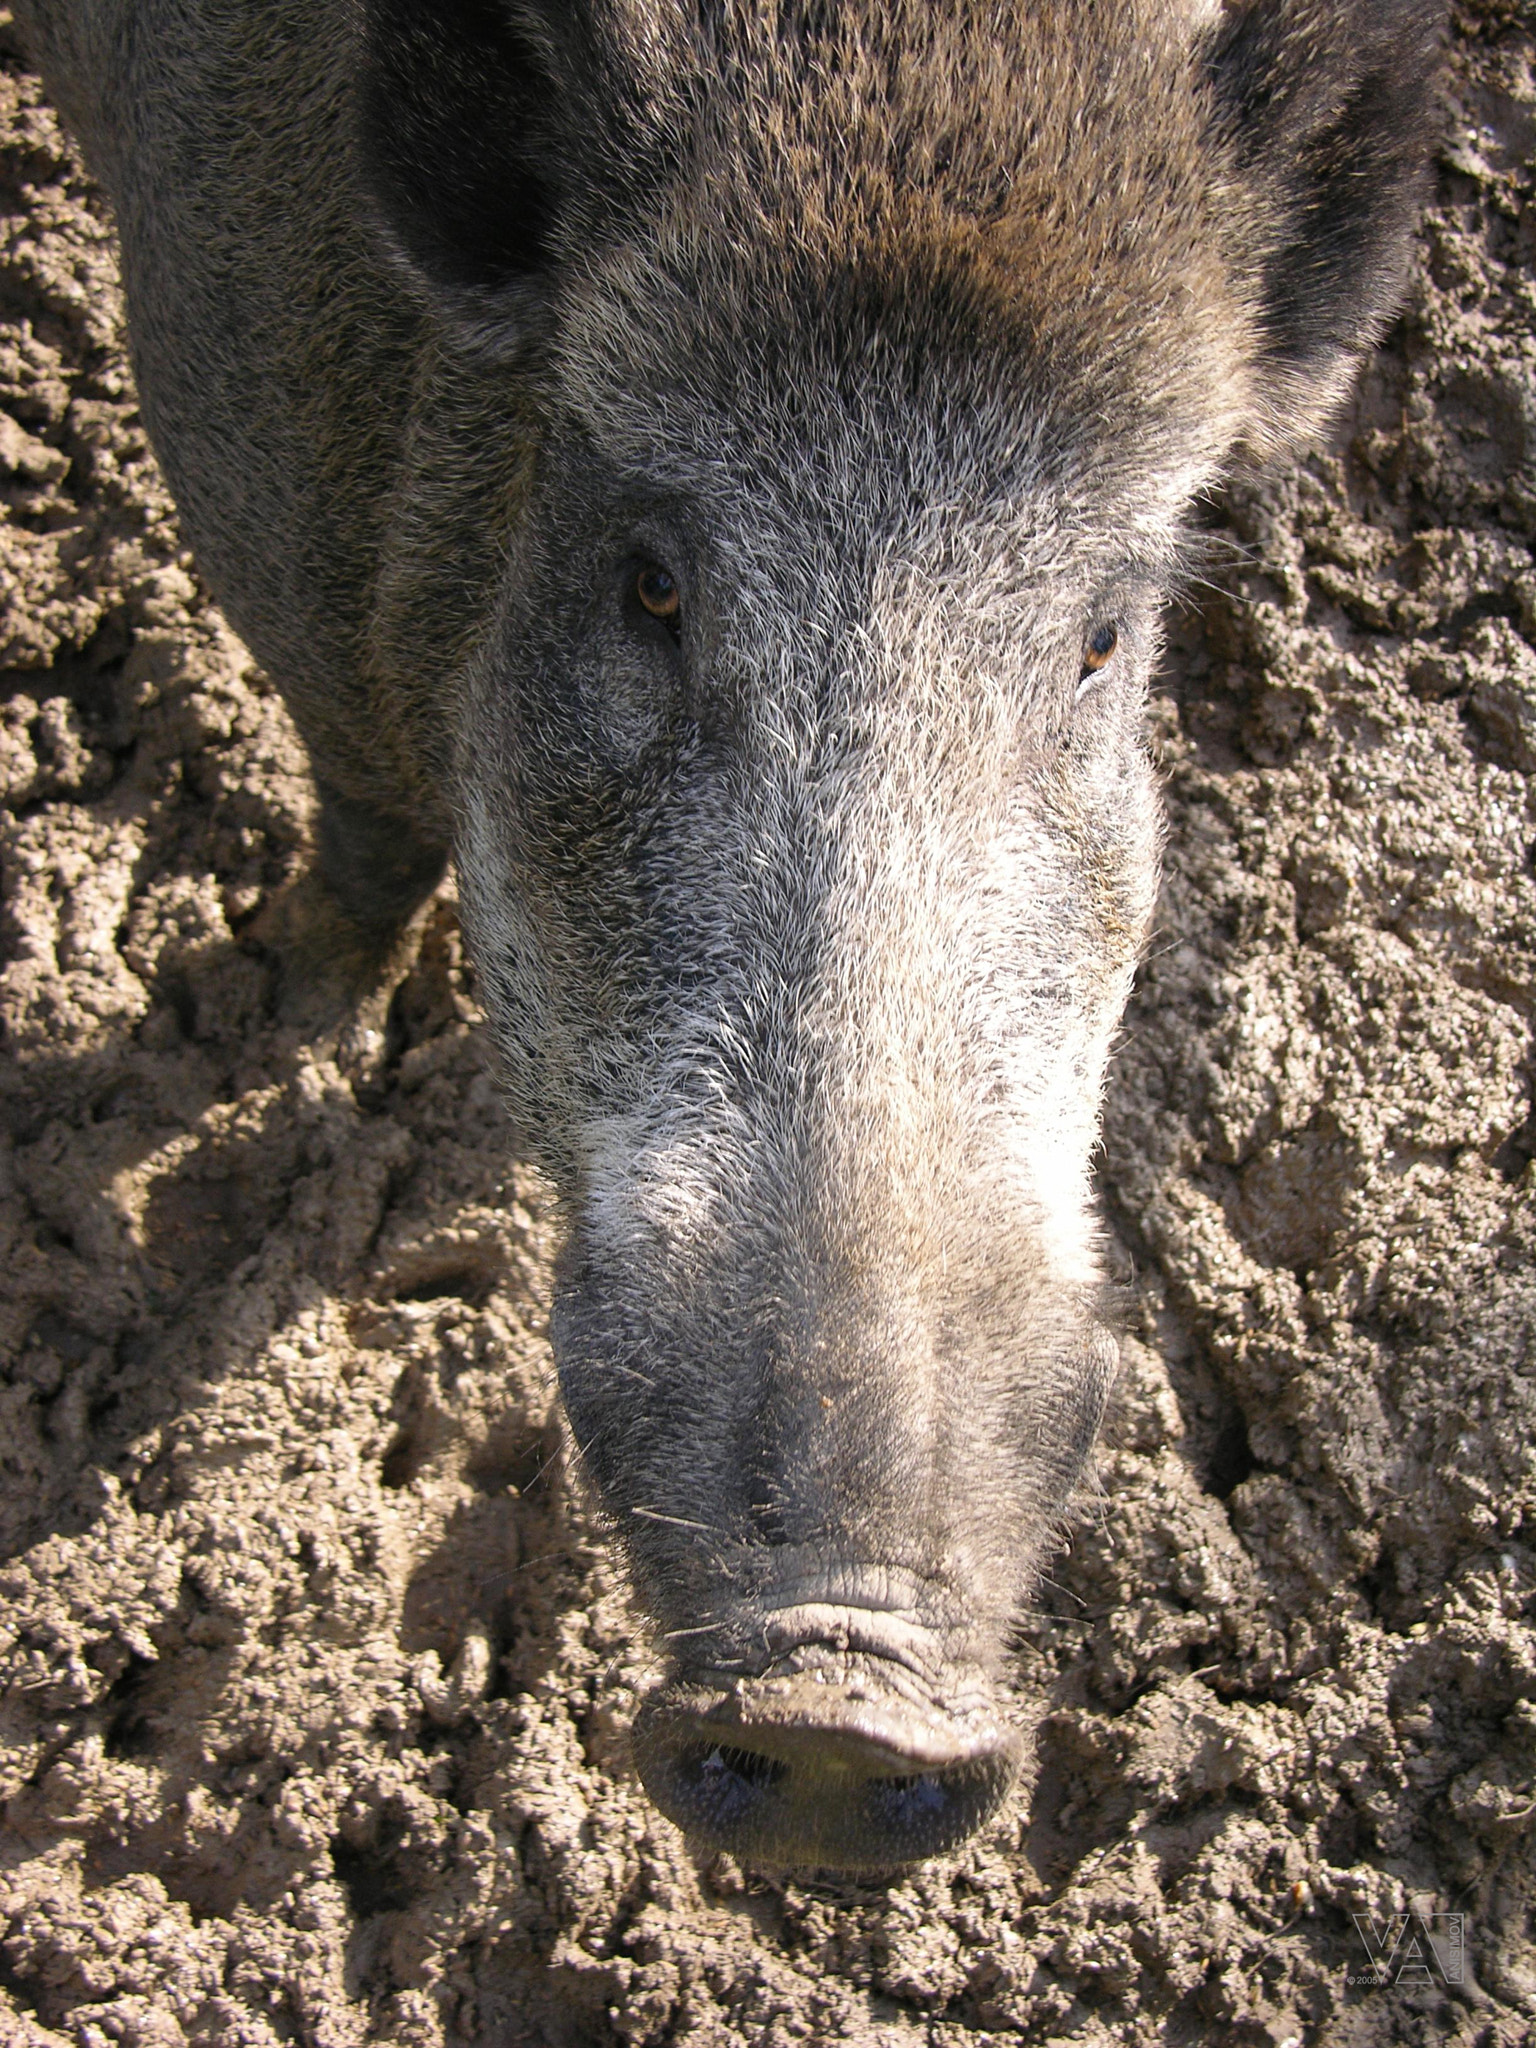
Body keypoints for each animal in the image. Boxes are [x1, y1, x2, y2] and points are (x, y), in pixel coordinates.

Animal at [12, 0, 1445, 1869]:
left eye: (1099, 639)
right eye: (653, 583)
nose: (838, 1697)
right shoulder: (235, 452)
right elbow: (368, 841)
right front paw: (275, 997)